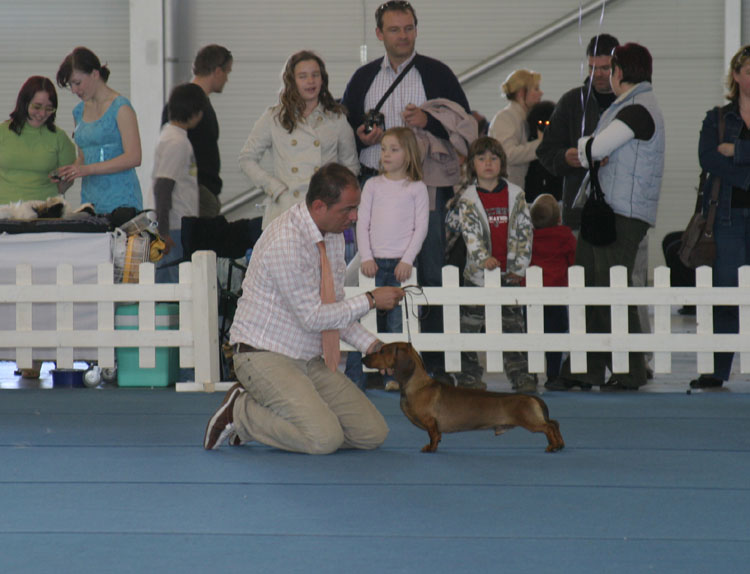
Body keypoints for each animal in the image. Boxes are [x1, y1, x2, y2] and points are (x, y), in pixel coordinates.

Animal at [363, 342, 565, 453]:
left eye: (382, 351)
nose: (363, 359)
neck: (418, 385)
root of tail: (532, 398)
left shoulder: (430, 421)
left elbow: (433, 436)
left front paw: (430, 448)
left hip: (530, 421)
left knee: (549, 426)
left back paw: (553, 446)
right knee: (554, 423)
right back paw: (559, 444)